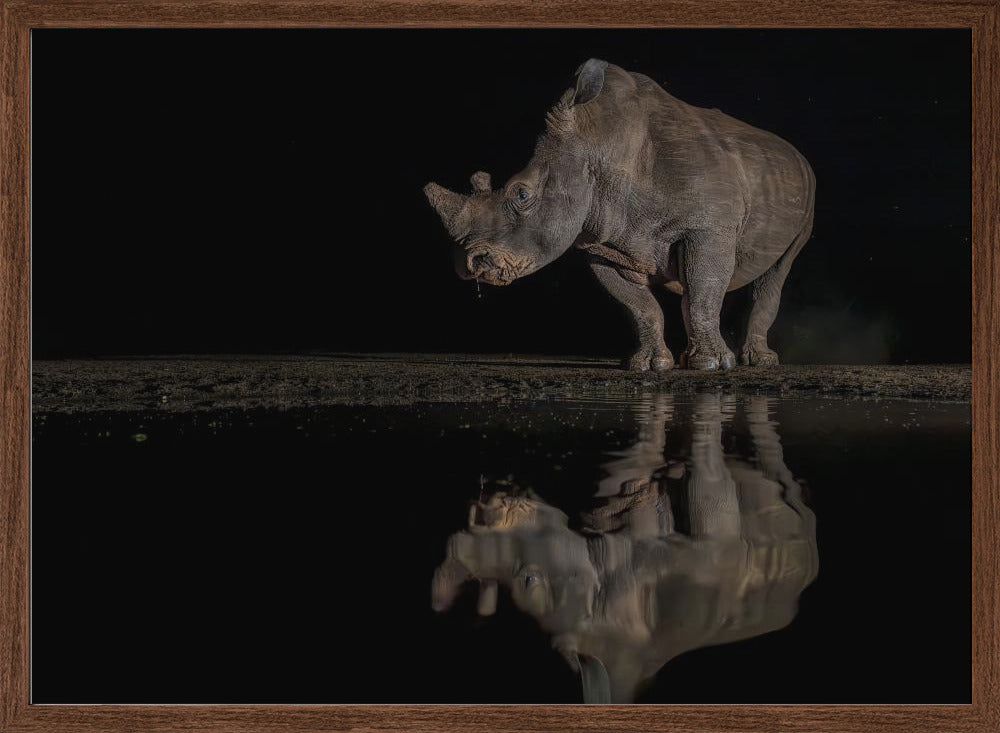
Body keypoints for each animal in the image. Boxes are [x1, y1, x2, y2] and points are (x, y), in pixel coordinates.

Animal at [425, 59, 815, 371]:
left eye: (522, 194)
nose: (469, 265)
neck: (598, 145)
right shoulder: (603, 243)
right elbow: (639, 306)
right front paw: (649, 365)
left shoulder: (707, 227)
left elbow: (702, 294)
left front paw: (711, 365)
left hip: (807, 193)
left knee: (776, 271)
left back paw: (758, 362)